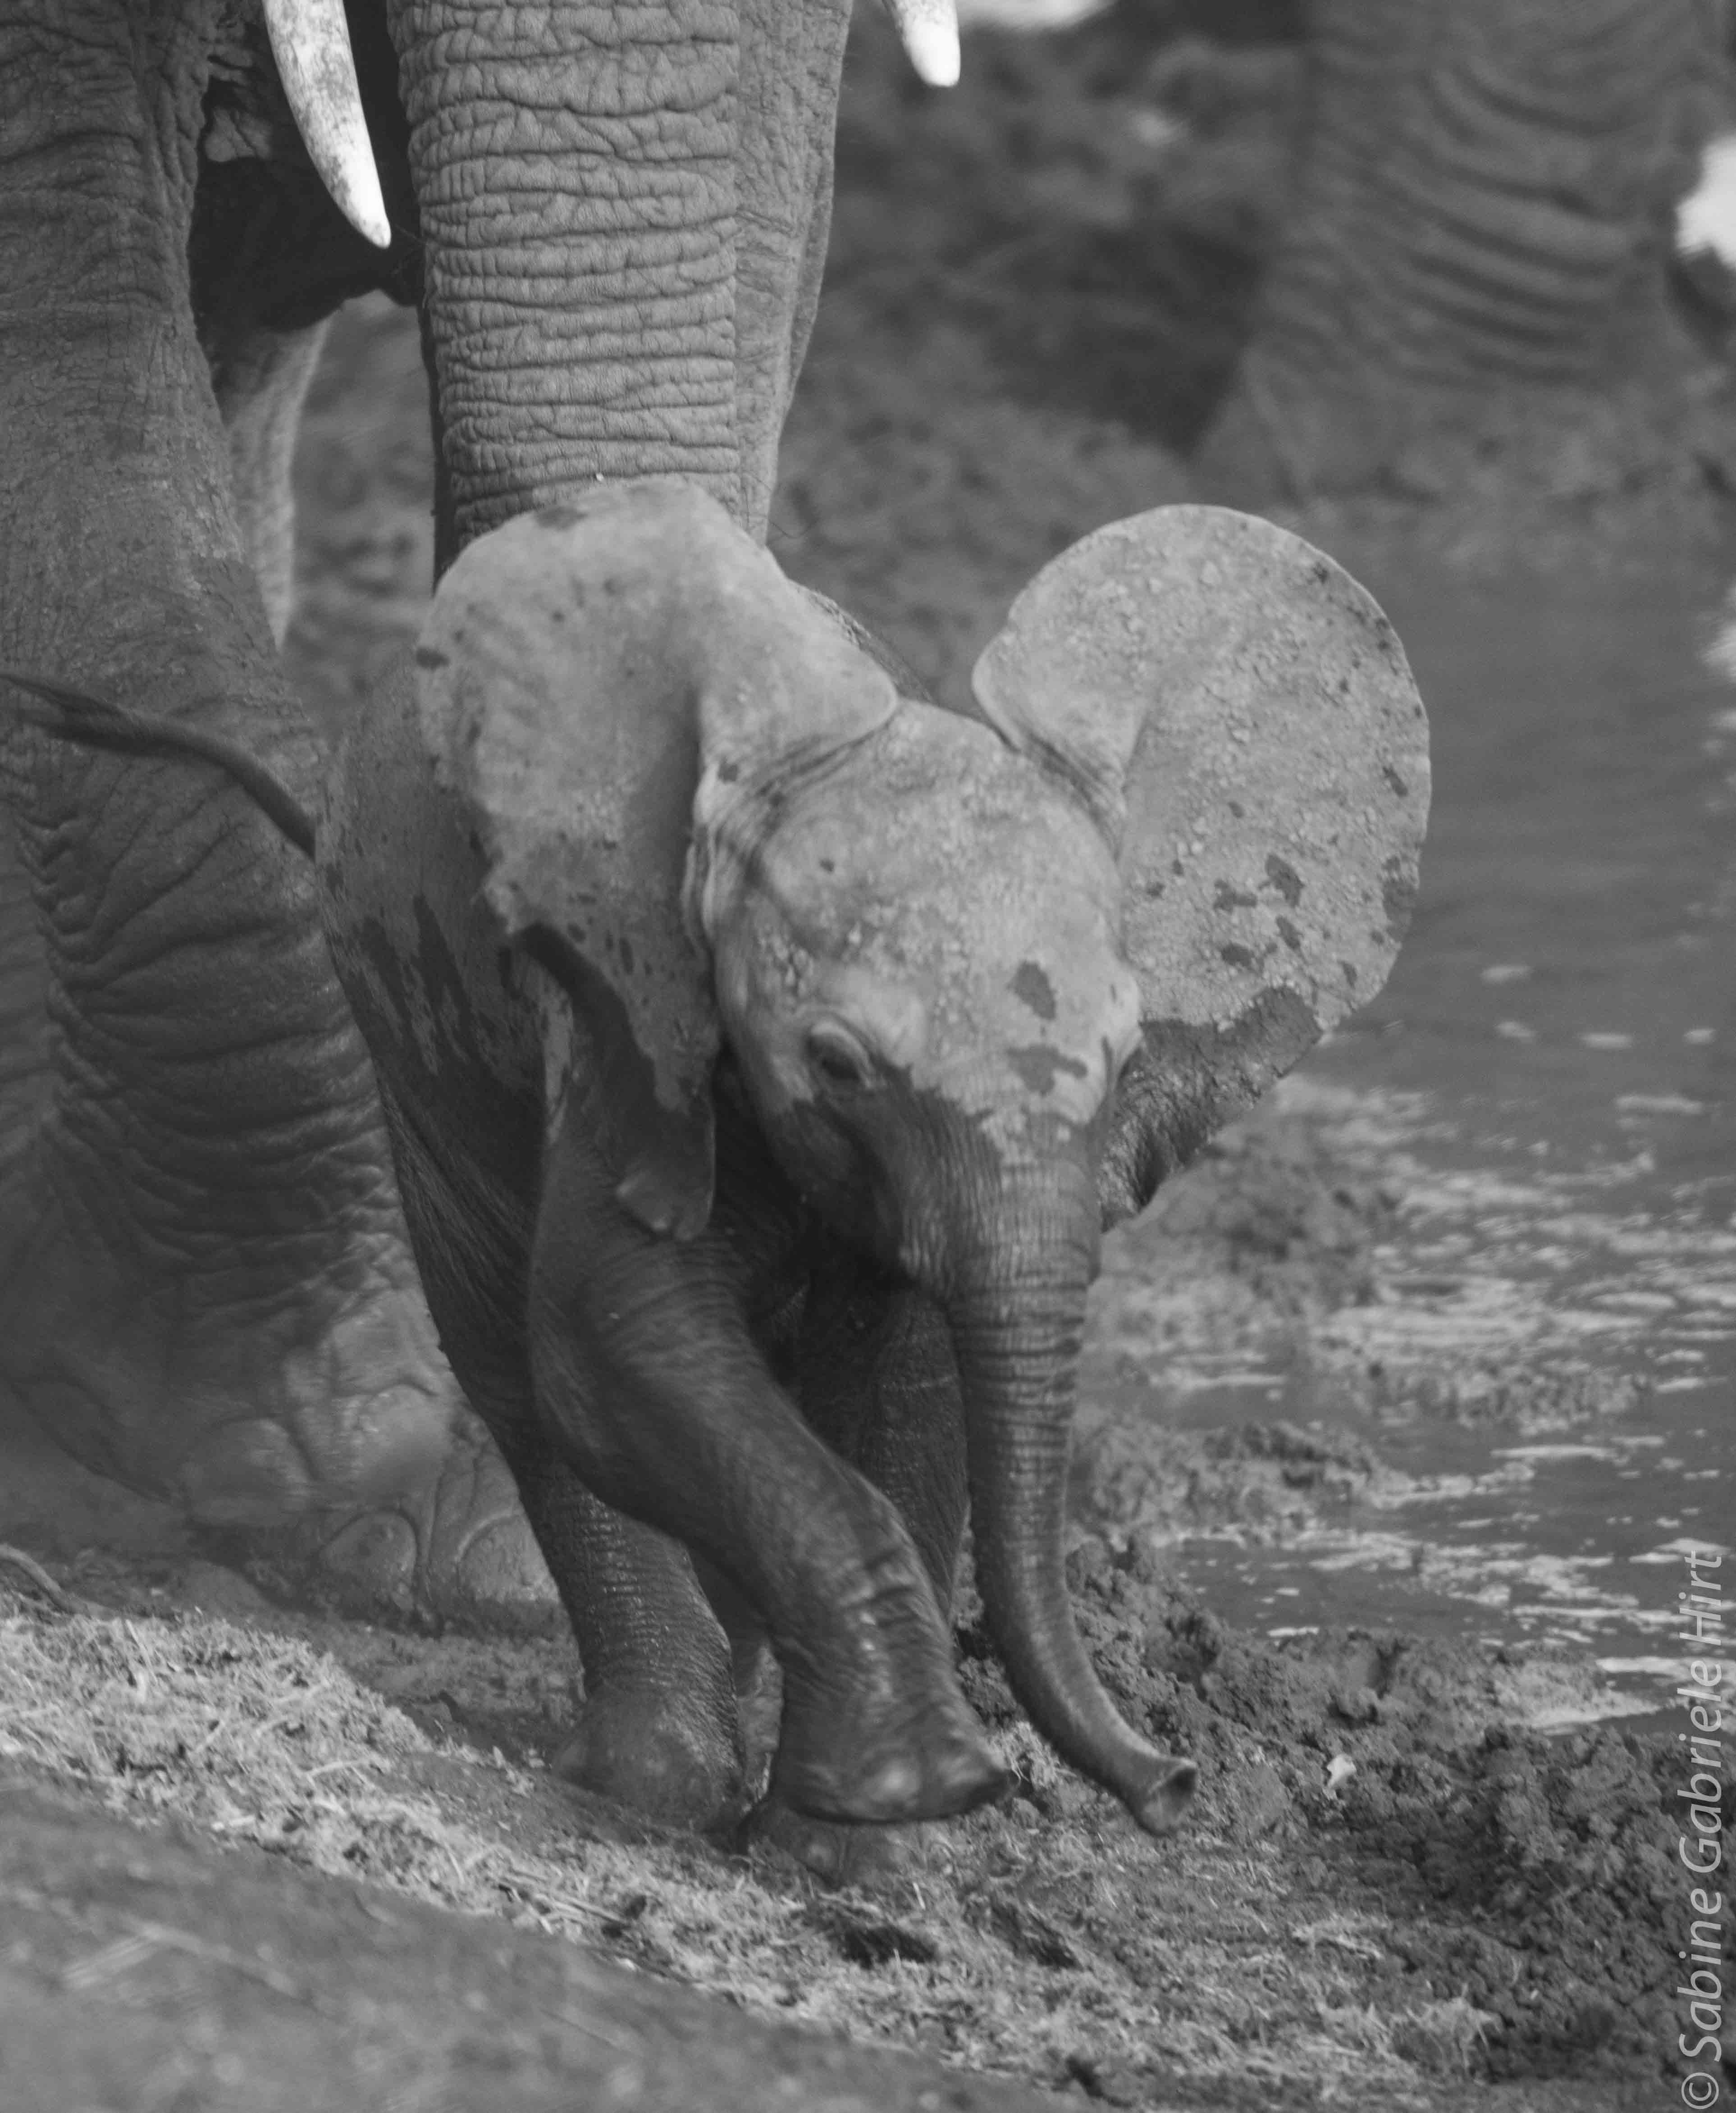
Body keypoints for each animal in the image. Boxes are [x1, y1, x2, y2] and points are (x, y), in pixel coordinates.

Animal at [4, 481, 1430, 1860]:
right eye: (838, 1062)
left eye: (1128, 1055)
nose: (1172, 1784)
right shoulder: (619, 1014)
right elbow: (615, 1338)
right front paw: (903, 1789)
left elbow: (902, 1380)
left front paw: (855, 1849)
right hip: (405, 1009)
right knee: (513, 1353)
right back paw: (651, 1779)